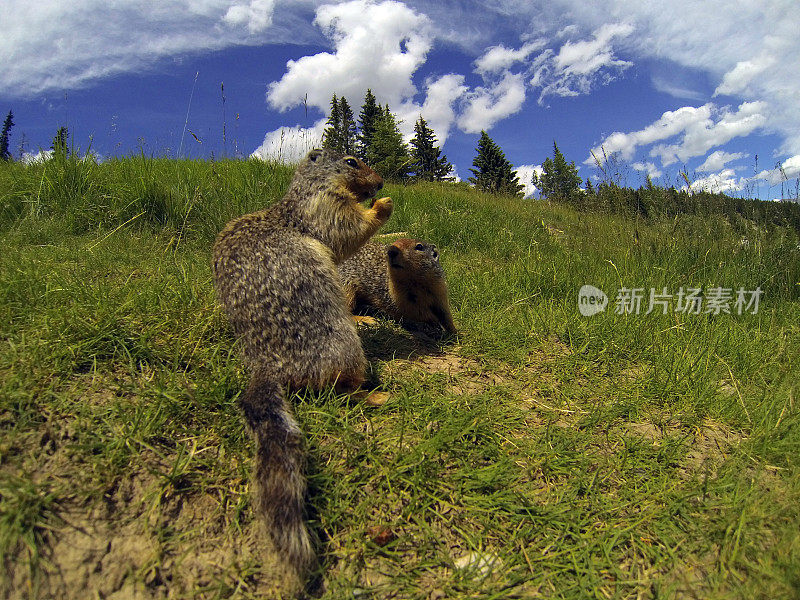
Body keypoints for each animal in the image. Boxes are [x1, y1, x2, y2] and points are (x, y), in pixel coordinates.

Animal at [209, 148, 390, 580]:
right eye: (352, 160)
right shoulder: (324, 205)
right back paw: (374, 395)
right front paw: (383, 205)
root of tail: (267, 366)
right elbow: (347, 228)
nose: (381, 182)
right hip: (342, 344)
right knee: (339, 390)